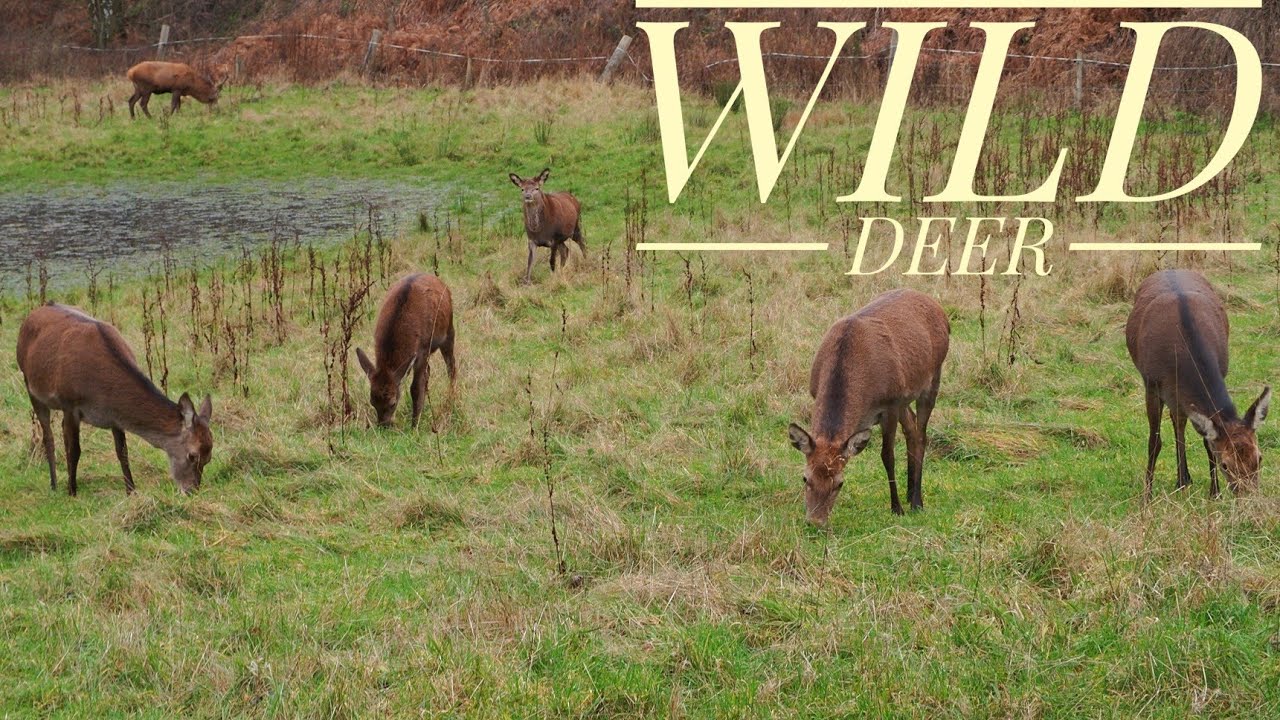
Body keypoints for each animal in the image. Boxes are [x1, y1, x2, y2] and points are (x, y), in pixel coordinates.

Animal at [16, 304, 214, 496]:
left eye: (209, 458)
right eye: (192, 455)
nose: (191, 491)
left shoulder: (115, 417)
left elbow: (123, 452)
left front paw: (131, 490)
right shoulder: (70, 403)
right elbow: (75, 451)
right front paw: (72, 492)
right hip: (30, 385)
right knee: (48, 436)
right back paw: (54, 484)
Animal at [356, 273, 457, 429]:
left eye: (393, 403)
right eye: (372, 401)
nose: (383, 425)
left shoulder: (423, 349)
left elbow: (415, 388)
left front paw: (414, 425)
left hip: (449, 331)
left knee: (451, 367)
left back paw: (451, 399)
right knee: (429, 372)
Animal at [787, 289, 950, 525]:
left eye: (840, 483)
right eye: (805, 478)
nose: (815, 522)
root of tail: (940, 309)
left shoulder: (889, 405)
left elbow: (887, 456)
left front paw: (897, 508)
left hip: (933, 378)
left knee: (921, 434)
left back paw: (916, 502)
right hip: (905, 396)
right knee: (911, 429)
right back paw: (910, 492)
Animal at [1126, 269, 1270, 500]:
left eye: (1259, 458)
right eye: (1226, 465)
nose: (1250, 499)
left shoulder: (1221, 371)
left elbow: (1207, 441)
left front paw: (1215, 492)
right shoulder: (1151, 383)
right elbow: (1154, 443)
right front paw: (1147, 495)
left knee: (1178, 420)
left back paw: (1184, 478)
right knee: (1177, 423)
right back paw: (1182, 480)